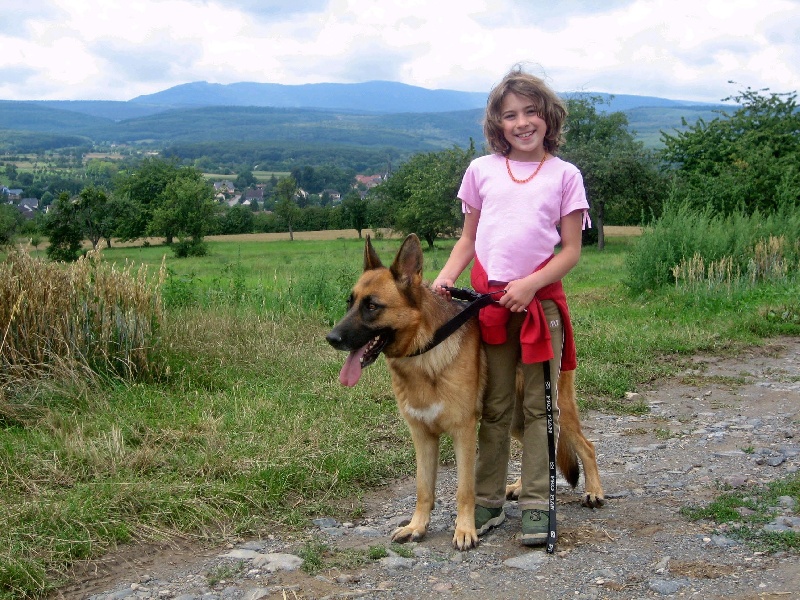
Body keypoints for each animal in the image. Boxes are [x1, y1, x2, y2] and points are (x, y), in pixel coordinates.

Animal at [324, 233, 600, 548]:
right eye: (350, 303)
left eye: (372, 307)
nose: (331, 338)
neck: (426, 348)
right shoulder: (422, 436)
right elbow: (423, 488)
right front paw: (416, 526)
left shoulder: (464, 433)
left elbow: (465, 489)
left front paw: (465, 530)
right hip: (515, 418)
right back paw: (520, 486)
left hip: (553, 410)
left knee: (585, 446)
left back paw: (594, 492)